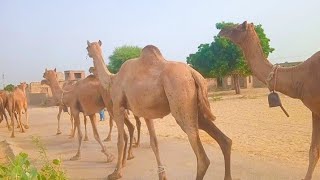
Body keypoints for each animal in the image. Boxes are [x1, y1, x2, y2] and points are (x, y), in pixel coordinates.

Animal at [87, 40, 232, 180]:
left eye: (87, 47)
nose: (89, 65)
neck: (112, 80)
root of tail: (193, 73)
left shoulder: (118, 106)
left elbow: (120, 141)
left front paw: (115, 173)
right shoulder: (146, 113)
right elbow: (154, 143)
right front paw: (162, 175)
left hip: (181, 99)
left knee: (202, 158)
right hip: (196, 107)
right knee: (225, 140)